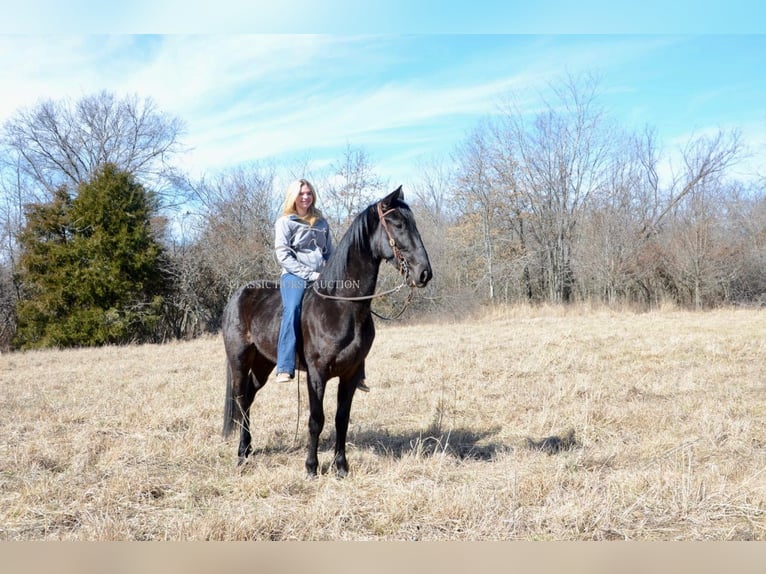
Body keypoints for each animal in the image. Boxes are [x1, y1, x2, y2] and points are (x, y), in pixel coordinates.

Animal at [225, 188, 436, 476]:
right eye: (398, 224)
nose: (424, 273)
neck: (342, 305)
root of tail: (237, 295)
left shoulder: (350, 374)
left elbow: (341, 419)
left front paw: (341, 466)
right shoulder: (317, 374)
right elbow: (316, 419)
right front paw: (311, 467)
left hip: (263, 364)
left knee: (247, 398)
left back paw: (247, 449)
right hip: (239, 360)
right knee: (240, 400)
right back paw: (240, 455)